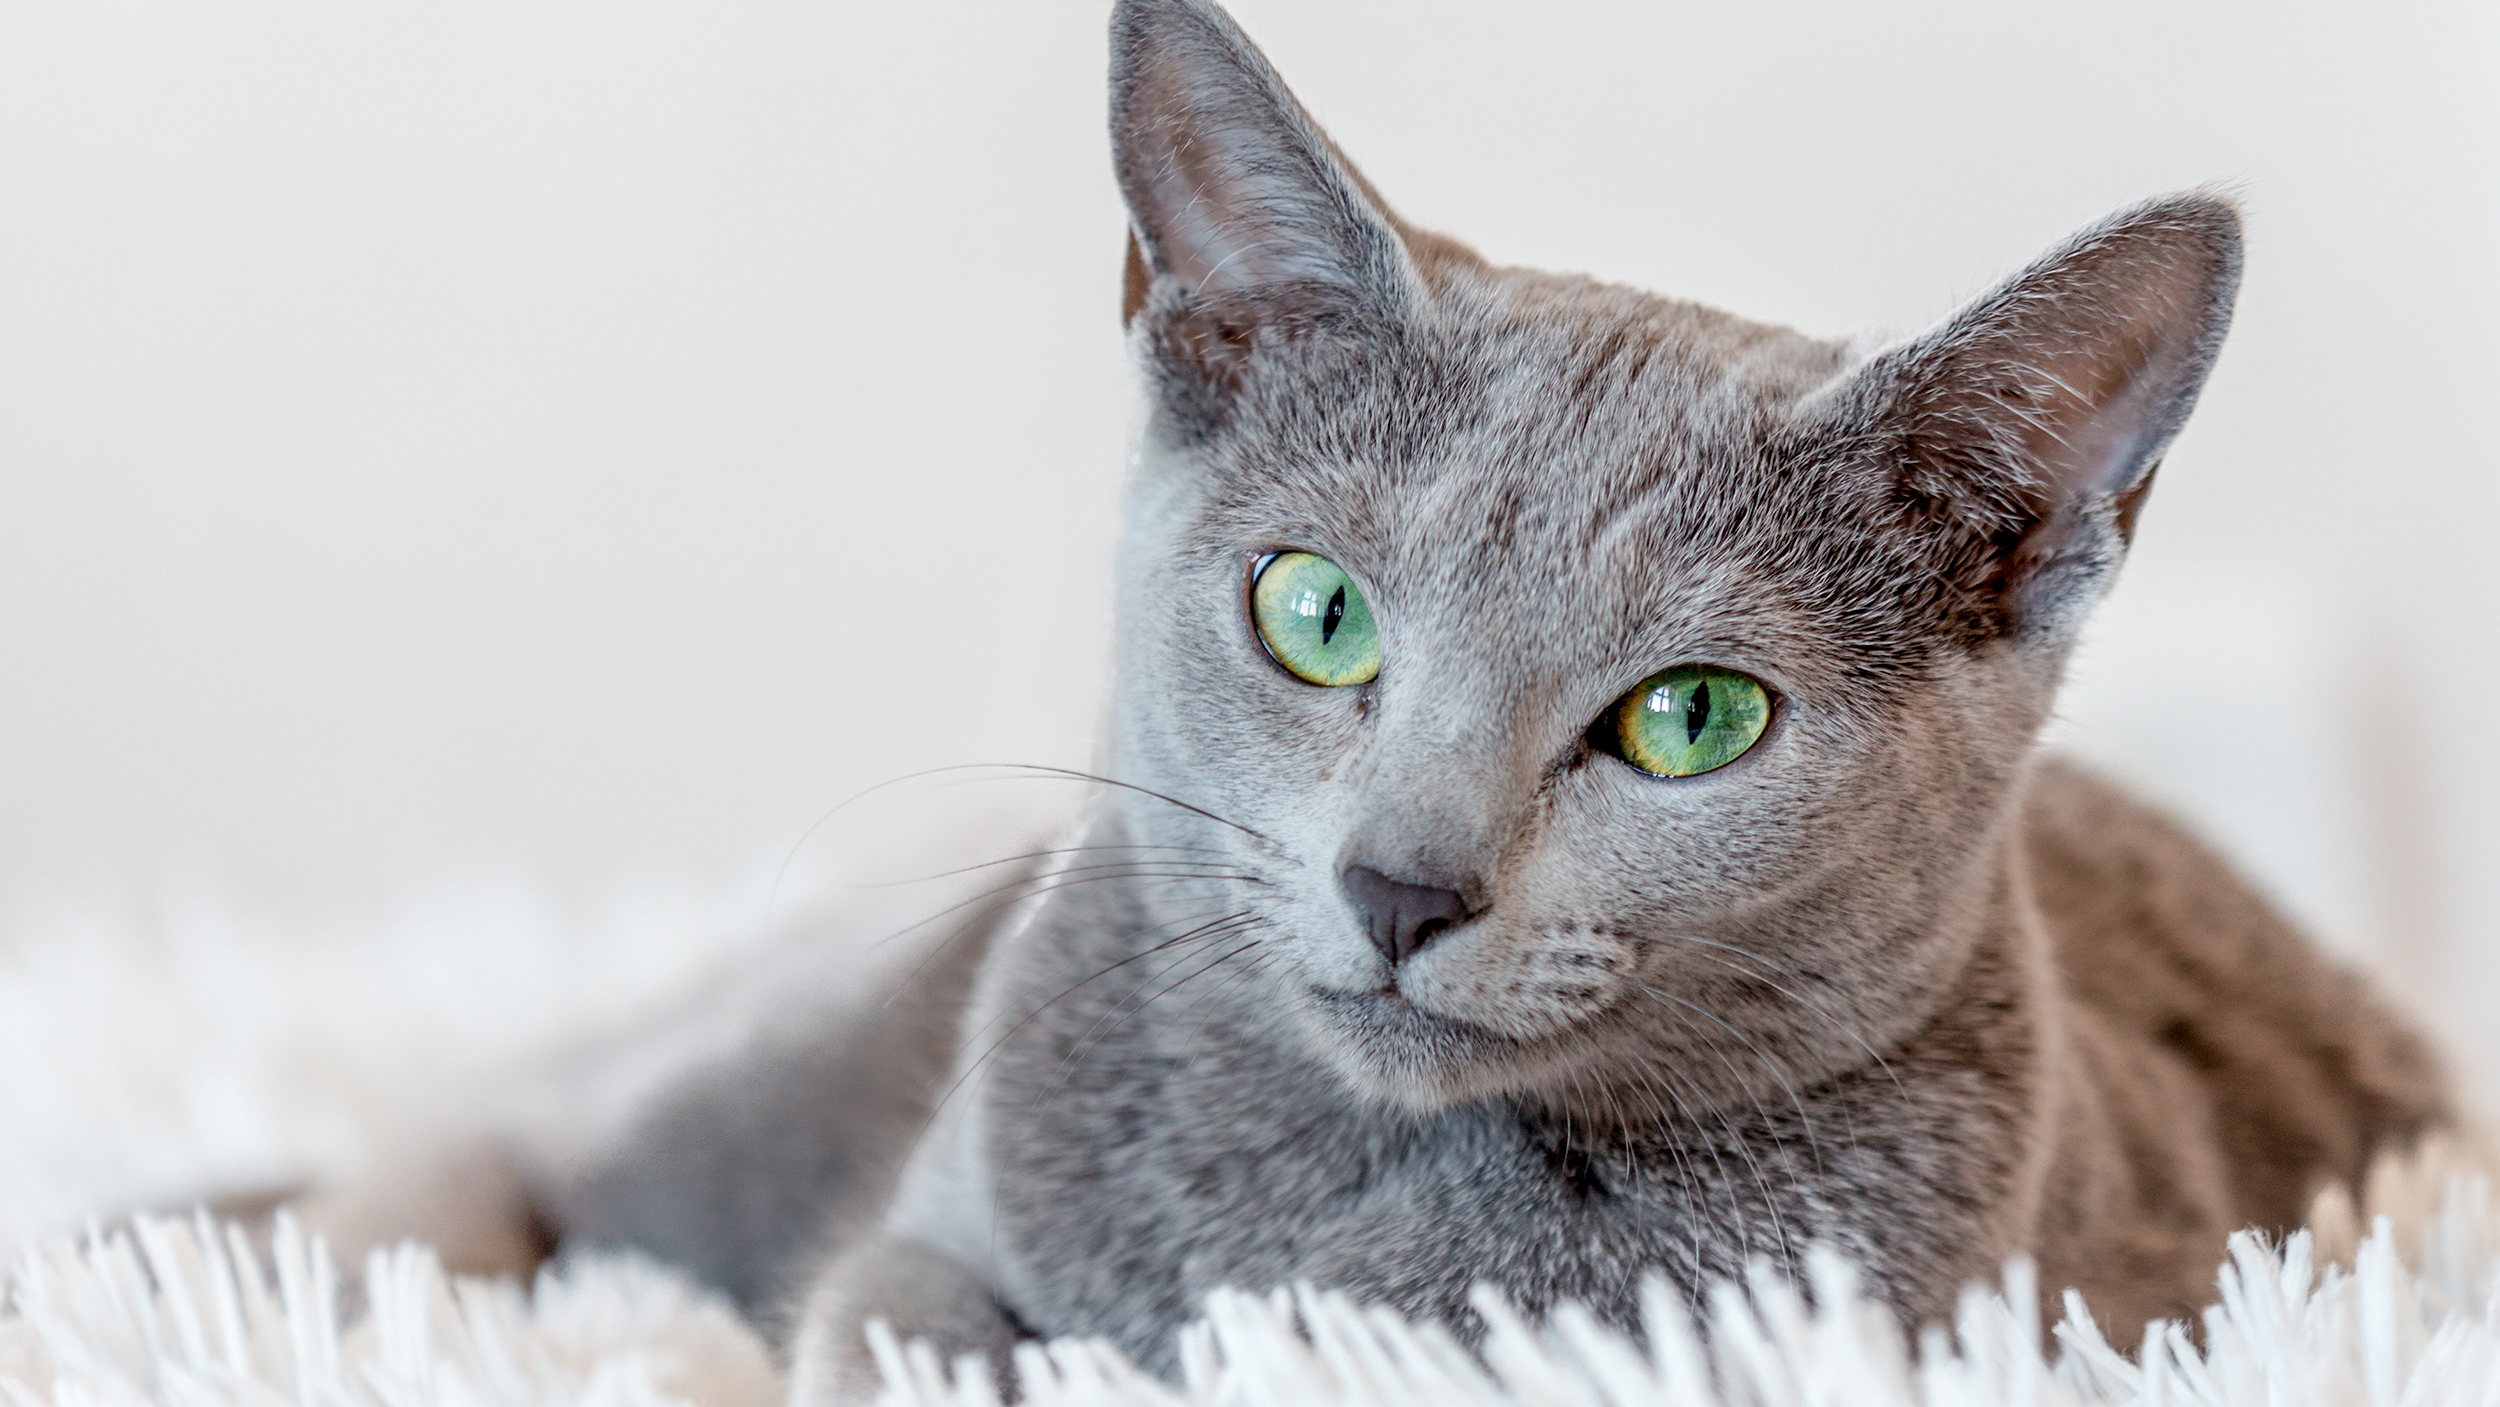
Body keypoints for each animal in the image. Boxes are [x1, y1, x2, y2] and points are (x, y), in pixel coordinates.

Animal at [302, 0, 2450, 1399]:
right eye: (1318, 613)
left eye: (1693, 720)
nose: (1404, 888)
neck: (1338, 1215)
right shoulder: (923, 1238)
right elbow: (904, 1328)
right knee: (504, 1124)